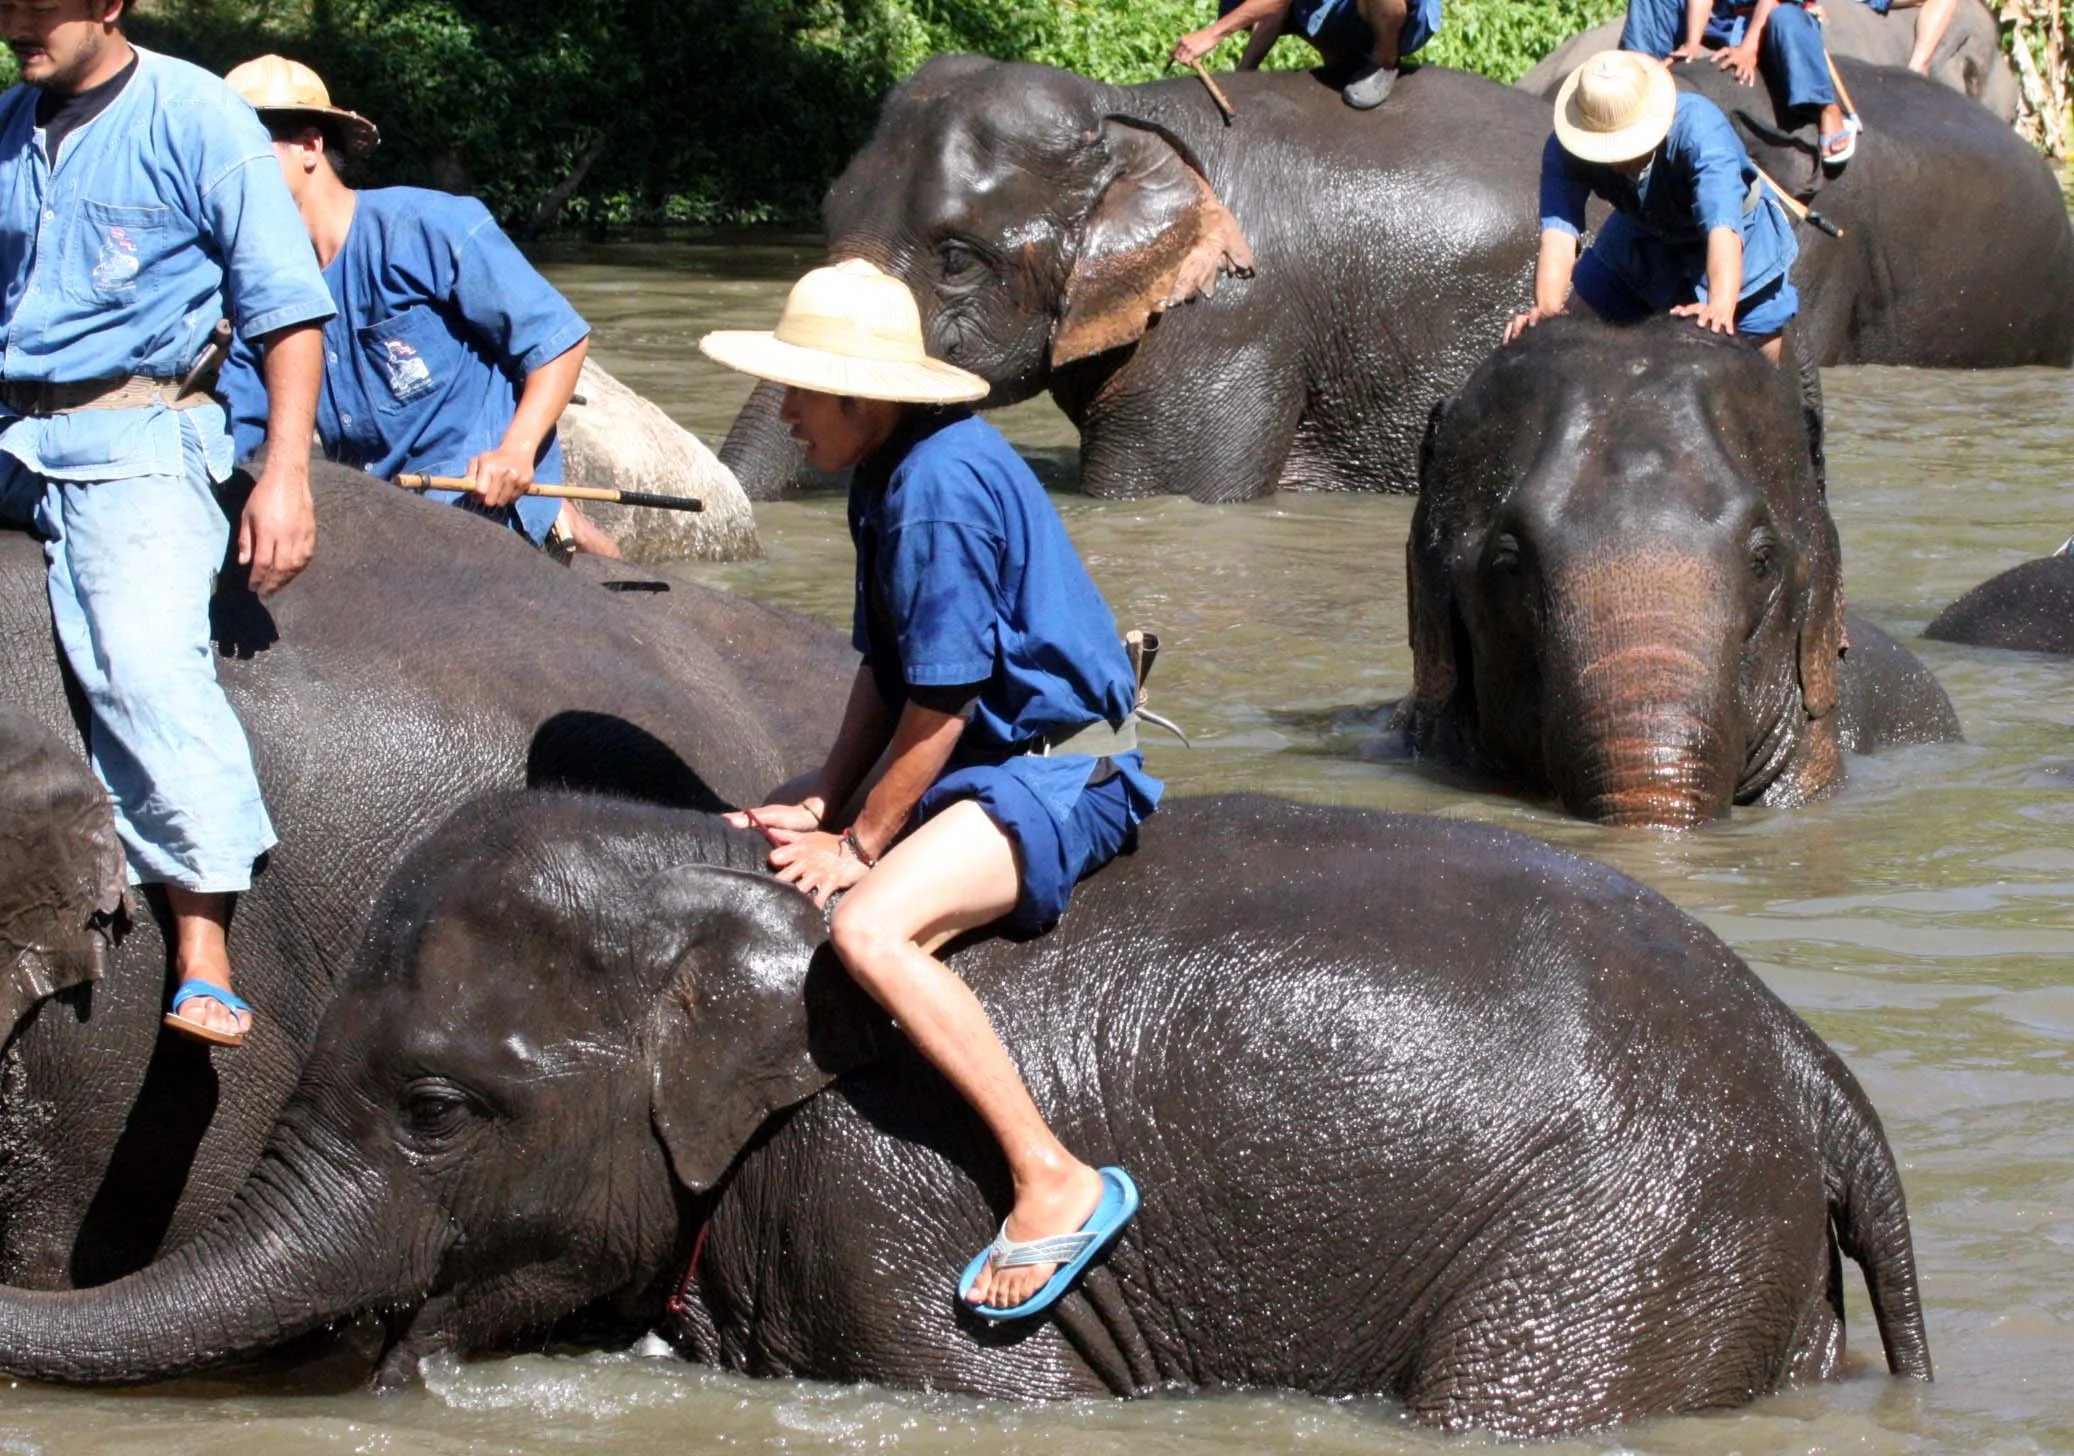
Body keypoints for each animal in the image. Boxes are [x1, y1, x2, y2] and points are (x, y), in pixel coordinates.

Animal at [0, 789, 1931, 1436]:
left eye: (432, 1112)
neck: (712, 877)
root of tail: (1816, 1073)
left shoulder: (889, 1193)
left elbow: (999, 1393)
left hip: (1631, 1237)